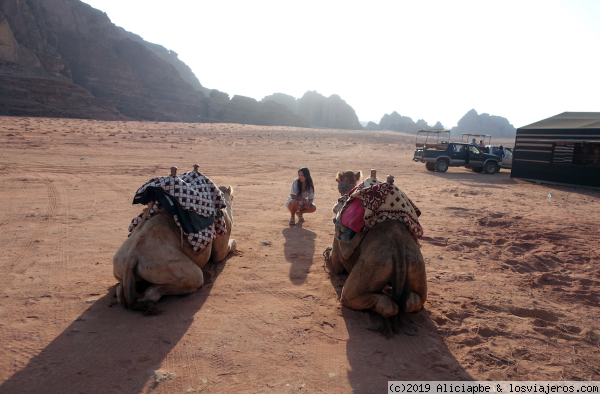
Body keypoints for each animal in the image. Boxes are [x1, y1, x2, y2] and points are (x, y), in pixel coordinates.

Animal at [324, 171, 426, 334]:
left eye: (337, 181)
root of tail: (399, 251)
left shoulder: (337, 241)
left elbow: (335, 263)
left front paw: (327, 251)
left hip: (373, 264)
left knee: (350, 296)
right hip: (416, 263)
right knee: (413, 301)